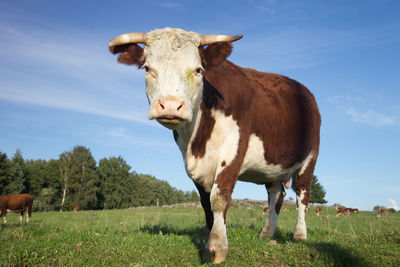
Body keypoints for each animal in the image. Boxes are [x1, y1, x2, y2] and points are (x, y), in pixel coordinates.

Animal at [108, 27, 320, 264]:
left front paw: (218, 248)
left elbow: (219, 198)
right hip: (272, 165)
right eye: (147, 68)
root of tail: (305, 91)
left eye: (198, 69)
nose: (171, 106)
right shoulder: (193, 163)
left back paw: (300, 234)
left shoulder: (234, 150)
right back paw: (267, 233)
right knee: (277, 194)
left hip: (310, 158)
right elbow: (206, 204)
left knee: (302, 195)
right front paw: (208, 245)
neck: (199, 140)